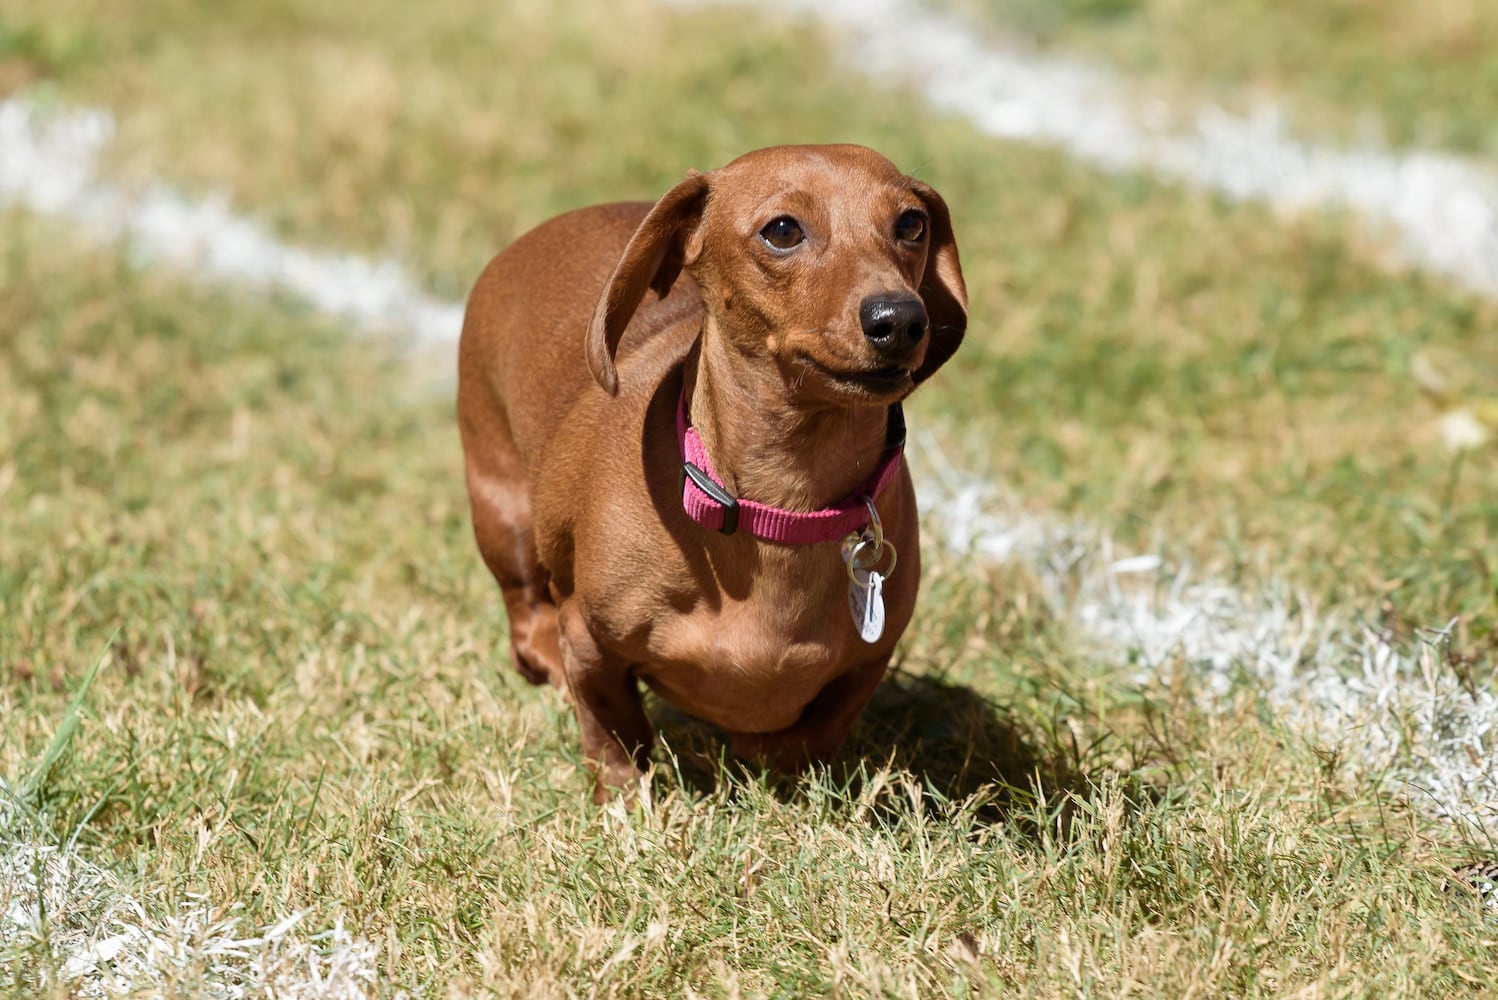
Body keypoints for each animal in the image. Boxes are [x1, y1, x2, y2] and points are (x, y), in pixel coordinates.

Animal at [458, 144, 970, 802]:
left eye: (911, 223)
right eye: (783, 230)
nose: (900, 319)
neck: (778, 509)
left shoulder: (865, 664)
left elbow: (813, 733)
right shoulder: (590, 641)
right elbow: (613, 727)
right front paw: (622, 802)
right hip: (502, 513)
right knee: (526, 610)